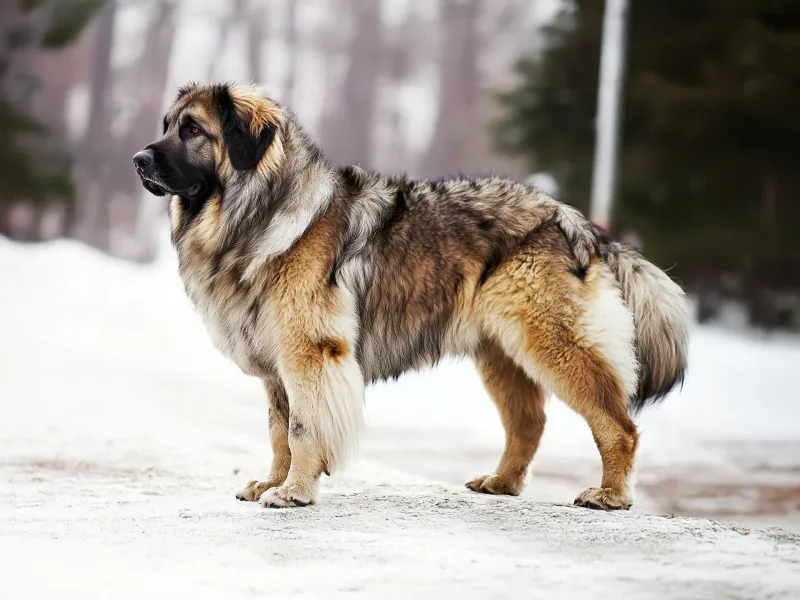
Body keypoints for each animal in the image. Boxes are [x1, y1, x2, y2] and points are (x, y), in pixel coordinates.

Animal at [131, 81, 688, 510]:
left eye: (193, 130)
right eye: (168, 124)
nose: (137, 159)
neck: (259, 211)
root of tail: (573, 220)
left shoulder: (310, 354)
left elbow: (303, 429)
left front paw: (293, 492)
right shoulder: (276, 369)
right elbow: (278, 432)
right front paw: (273, 480)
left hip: (552, 342)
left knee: (617, 424)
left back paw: (609, 495)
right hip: (501, 352)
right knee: (528, 423)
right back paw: (502, 483)